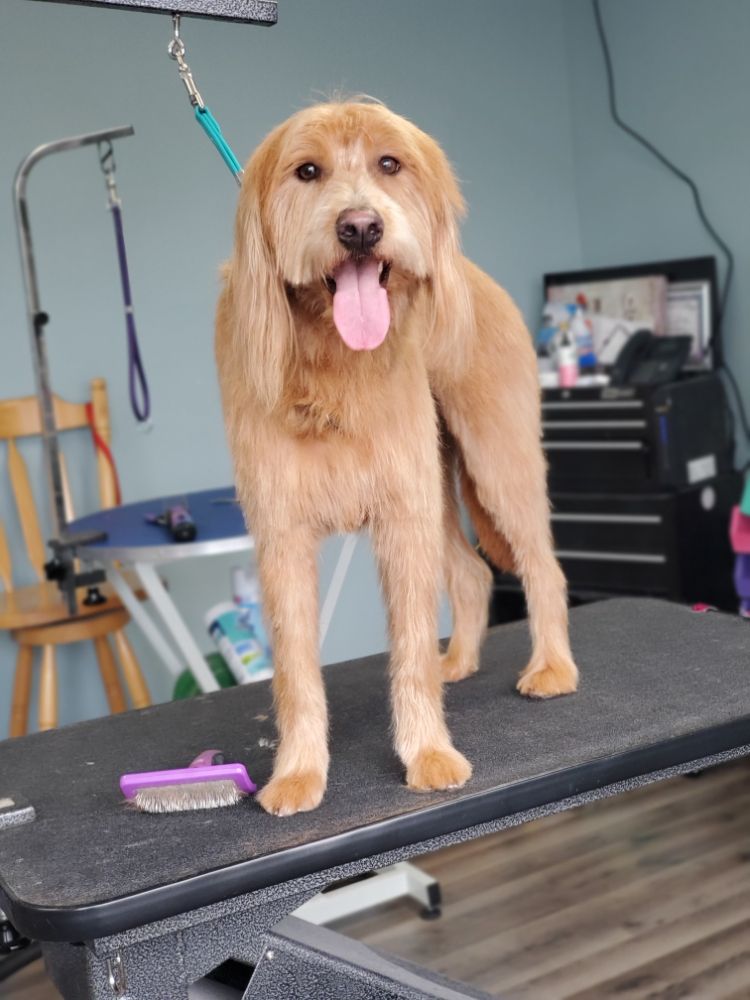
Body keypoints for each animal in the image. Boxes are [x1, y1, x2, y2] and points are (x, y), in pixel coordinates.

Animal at [215, 100, 579, 817]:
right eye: (307, 170)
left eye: (389, 163)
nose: (360, 227)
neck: (334, 365)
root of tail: (475, 274)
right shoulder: (282, 535)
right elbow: (296, 669)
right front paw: (299, 771)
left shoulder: (400, 518)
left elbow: (408, 651)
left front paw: (428, 753)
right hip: (437, 486)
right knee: (472, 573)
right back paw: (458, 661)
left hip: (497, 461)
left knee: (543, 567)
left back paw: (551, 667)